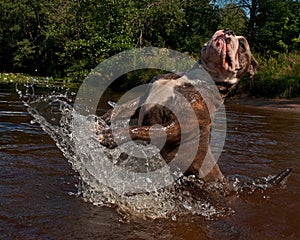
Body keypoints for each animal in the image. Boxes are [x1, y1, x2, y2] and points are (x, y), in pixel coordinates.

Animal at [98, 28, 258, 182]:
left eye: (242, 45)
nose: (229, 31)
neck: (196, 78)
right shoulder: (143, 98)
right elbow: (123, 108)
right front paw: (104, 119)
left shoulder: (177, 125)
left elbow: (142, 130)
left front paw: (109, 136)